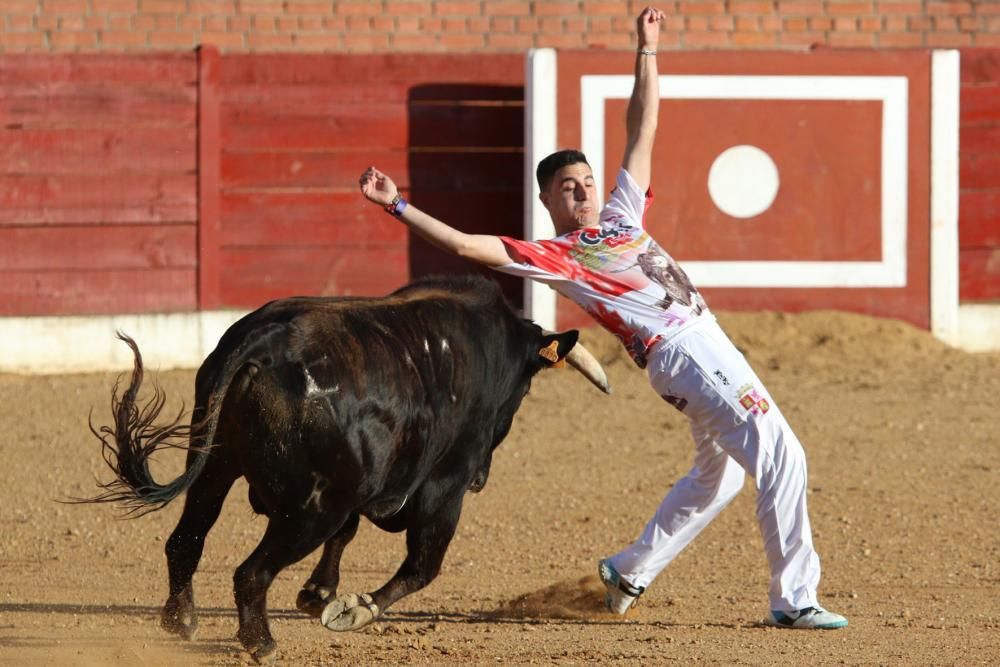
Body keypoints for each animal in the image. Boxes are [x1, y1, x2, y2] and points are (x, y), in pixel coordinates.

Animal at [78, 276, 608, 664]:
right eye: (523, 390)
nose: (482, 479)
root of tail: (259, 346)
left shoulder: (360, 485)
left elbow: (350, 536)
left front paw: (317, 594)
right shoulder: (444, 487)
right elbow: (423, 565)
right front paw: (353, 608)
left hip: (215, 465)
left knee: (186, 540)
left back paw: (182, 620)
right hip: (311, 509)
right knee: (252, 571)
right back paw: (261, 642)